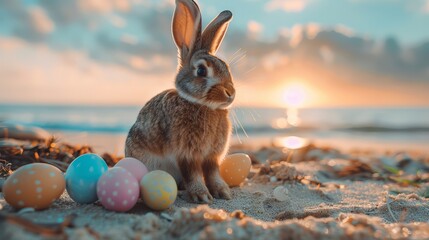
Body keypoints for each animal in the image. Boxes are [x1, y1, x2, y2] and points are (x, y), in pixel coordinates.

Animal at [124, 0, 234, 202]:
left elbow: (213, 173)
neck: (202, 106)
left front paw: (223, 192)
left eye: (226, 67)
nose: (230, 92)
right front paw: (202, 196)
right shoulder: (186, 153)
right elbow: (193, 174)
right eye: (201, 71)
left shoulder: (212, 157)